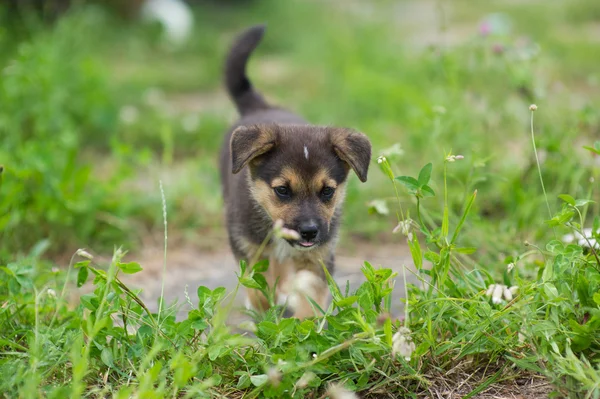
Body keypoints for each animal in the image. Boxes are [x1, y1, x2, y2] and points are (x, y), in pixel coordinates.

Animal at [220, 24, 370, 318]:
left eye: (327, 192)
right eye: (282, 190)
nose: (309, 232)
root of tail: (262, 107)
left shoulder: (318, 257)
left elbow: (310, 293)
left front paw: (305, 323)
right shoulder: (249, 248)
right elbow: (258, 287)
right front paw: (264, 309)